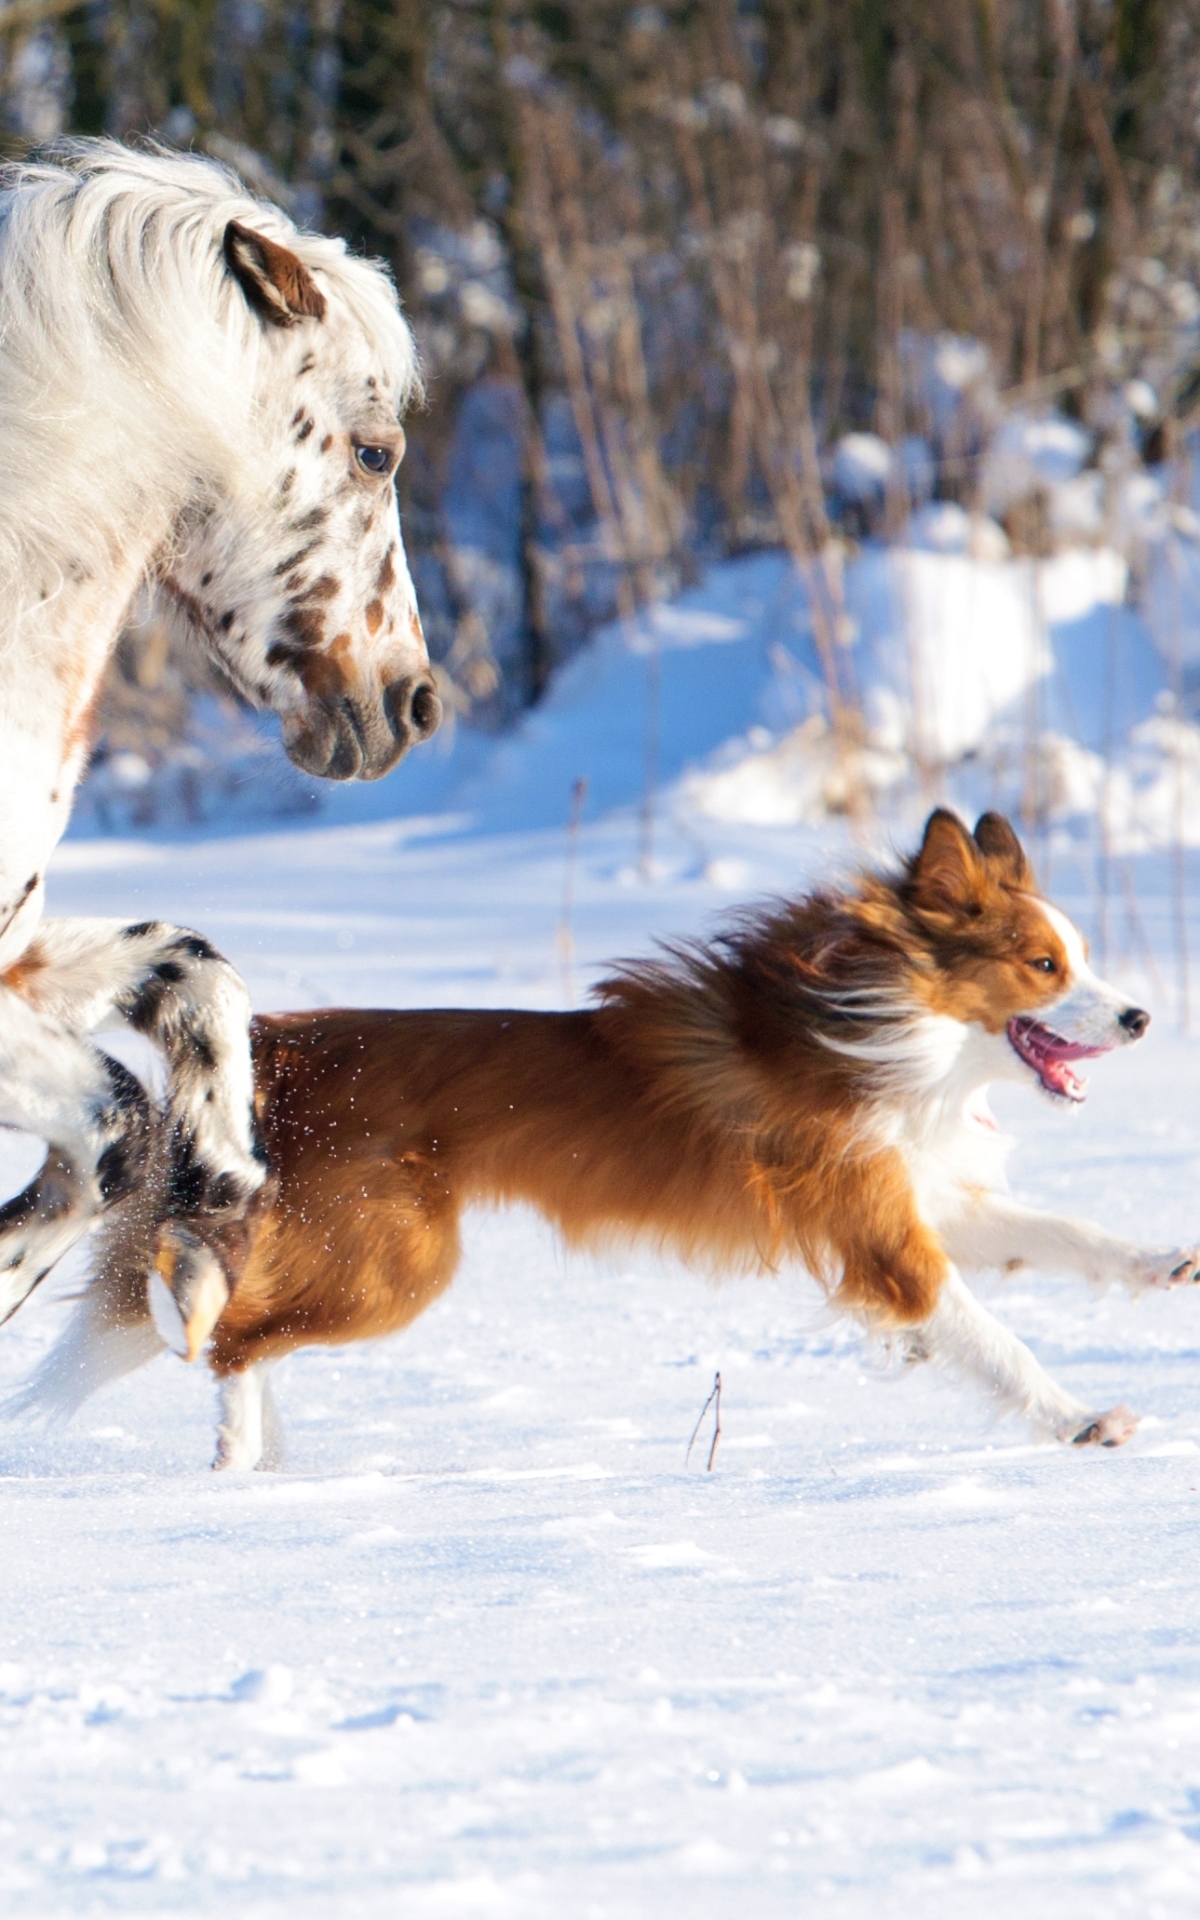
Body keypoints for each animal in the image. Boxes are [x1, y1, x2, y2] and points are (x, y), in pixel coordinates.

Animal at [0, 139, 439, 1336]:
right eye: (375, 454)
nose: (415, 703)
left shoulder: (18, 951)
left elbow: (197, 981)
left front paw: (214, 1206)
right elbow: (112, 1122)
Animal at [21, 802, 1198, 1459]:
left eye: (1079, 959)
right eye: (1044, 966)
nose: (1142, 1018)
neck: (886, 1031)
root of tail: (272, 1048)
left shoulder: (928, 1197)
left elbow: (1066, 1234)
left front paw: (1163, 1260)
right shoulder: (882, 1239)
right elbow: (996, 1342)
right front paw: (1081, 1422)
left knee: (233, 1327)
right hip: (394, 1265)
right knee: (232, 1339)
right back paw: (234, 1460)